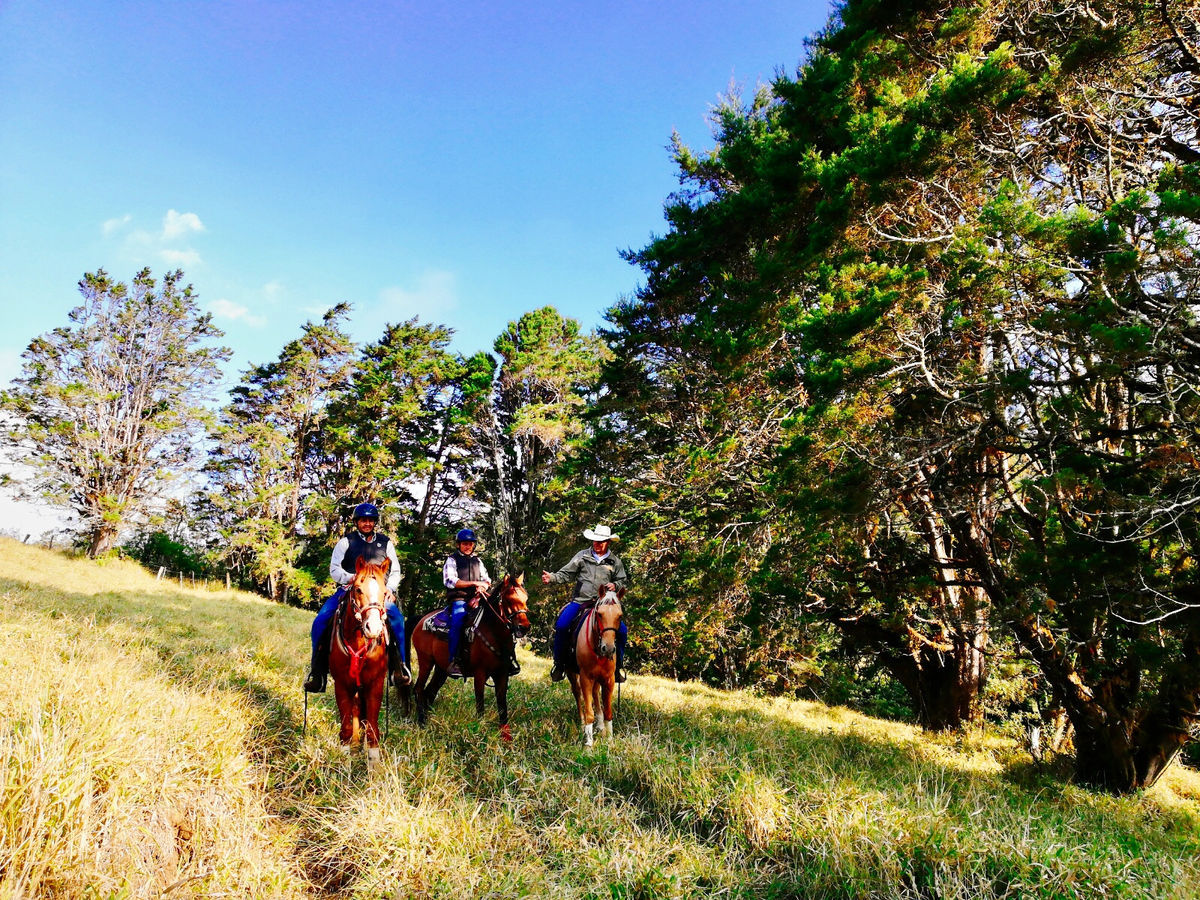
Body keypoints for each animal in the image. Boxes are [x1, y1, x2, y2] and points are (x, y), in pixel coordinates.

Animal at [328, 561, 388, 763]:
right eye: (358, 589)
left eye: (385, 592)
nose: (373, 628)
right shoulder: (342, 684)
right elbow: (346, 726)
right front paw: (345, 759)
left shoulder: (375, 684)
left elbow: (372, 727)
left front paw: (374, 764)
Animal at [408, 573, 530, 744]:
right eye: (508, 599)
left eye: (525, 598)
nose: (524, 627)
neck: (494, 633)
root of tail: (421, 619)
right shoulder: (480, 674)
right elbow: (480, 704)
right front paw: (480, 733)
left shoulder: (502, 674)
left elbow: (502, 706)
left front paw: (507, 738)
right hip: (426, 661)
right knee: (419, 689)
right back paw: (421, 722)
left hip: (441, 669)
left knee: (429, 692)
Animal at [568, 585, 628, 748]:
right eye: (599, 614)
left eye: (620, 616)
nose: (608, 649)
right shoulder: (586, 678)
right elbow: (589, 712)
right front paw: (588, 743)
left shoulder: (609, 680)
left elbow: (608, 712)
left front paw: (609, 740)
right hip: (571, 673)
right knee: (577, 693)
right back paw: (582, 724)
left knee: (595, 694)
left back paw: (600, 726)